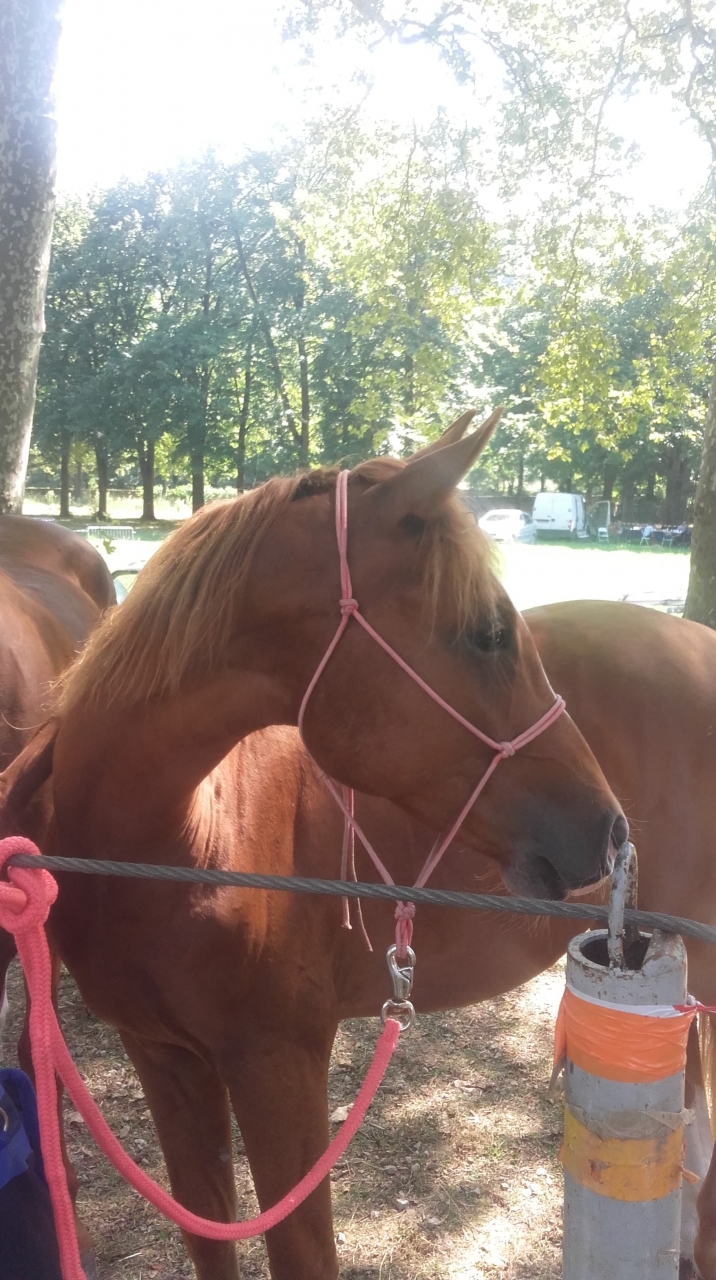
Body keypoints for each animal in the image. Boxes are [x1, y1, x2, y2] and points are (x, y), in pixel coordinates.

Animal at [0, 411, 628, 1280]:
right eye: (491, 634)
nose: (609, 828)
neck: (183, 845)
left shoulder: (281, 1070)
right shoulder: (165, 1059)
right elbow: (209, 1231)